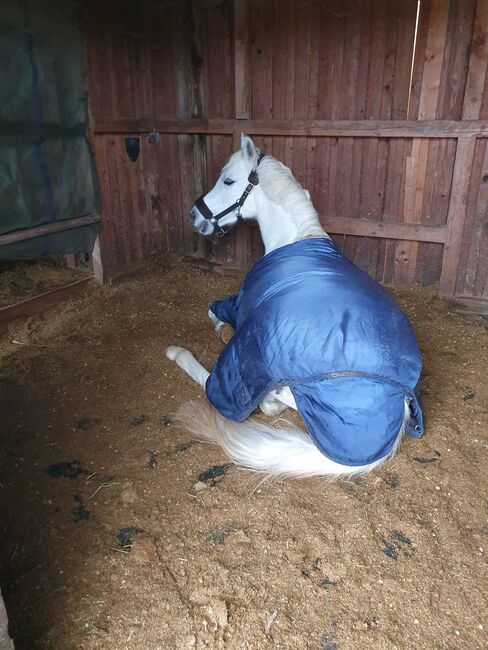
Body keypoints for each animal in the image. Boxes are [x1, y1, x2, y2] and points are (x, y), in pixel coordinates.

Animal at [165, 134, 424, 476]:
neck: (297, 238)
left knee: (234, 390)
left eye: (228, 180)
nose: (193, 216)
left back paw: (178, 353)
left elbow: (213, 311)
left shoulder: (242, 305)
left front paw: (221, 330)